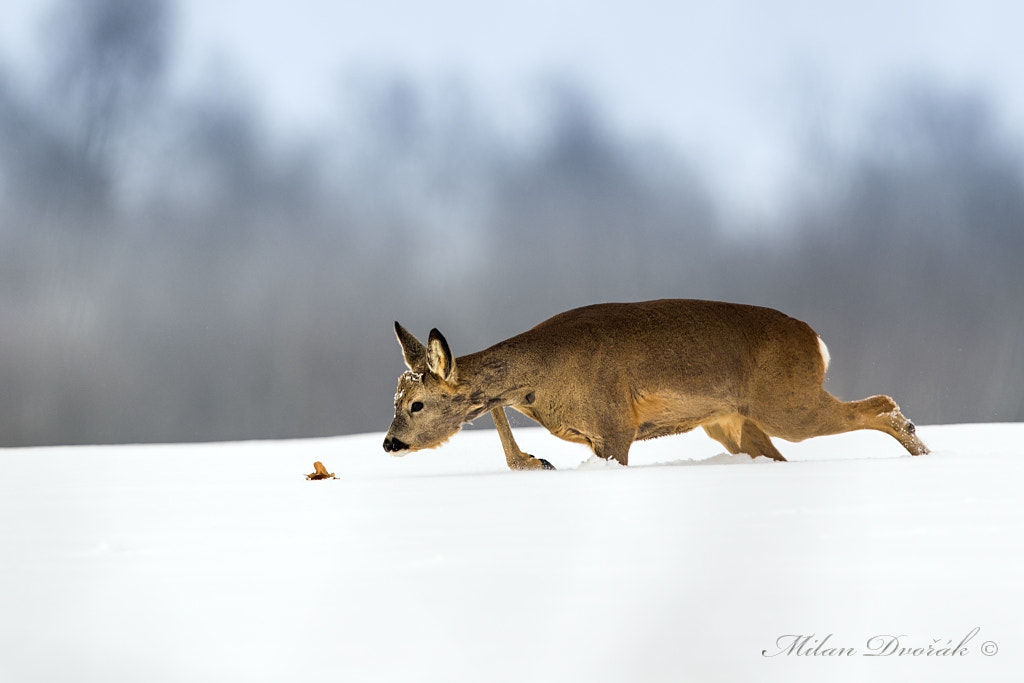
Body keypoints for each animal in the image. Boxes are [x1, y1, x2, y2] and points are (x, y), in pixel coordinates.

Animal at [382, 299, 929, 471]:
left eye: (416, 405)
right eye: (396, 397)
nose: (389, 442)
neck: (542, 380)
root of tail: (816, 341)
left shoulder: (615, 424)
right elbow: (494, 408)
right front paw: (533, 461)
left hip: (787, 403)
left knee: (882, 402)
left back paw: (921, 453)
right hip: (734, 424)